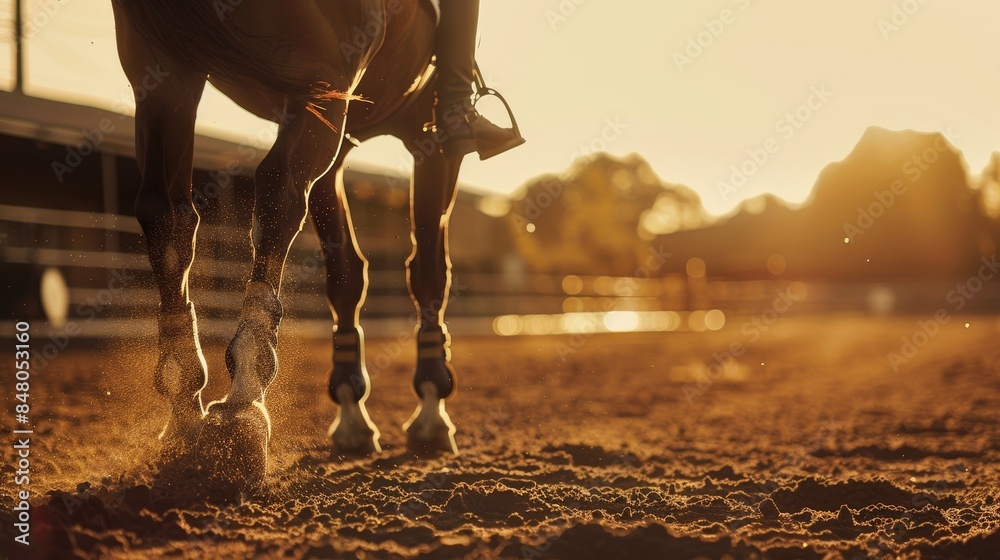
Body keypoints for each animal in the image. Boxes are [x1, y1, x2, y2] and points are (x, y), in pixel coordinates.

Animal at [111, 0, 480, 490]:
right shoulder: (431, 140)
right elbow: (427, 274)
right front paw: (432, 406)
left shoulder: (337, 143)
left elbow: (346, 276)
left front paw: (352, 412)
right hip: (320, 74)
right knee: (277, 189)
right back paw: (243, 405)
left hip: (165, 74)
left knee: (167, 213)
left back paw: (184, 411)